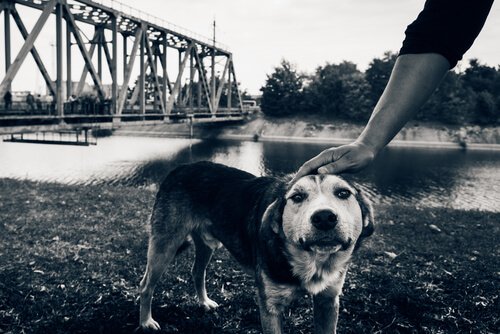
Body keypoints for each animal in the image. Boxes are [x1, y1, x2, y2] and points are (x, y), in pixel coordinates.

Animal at [139, 160, 374, 332]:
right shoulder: (269, 307)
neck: (312, 262)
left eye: (343, 193)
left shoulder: (328, 301)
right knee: (145, 285)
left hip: (206, 245)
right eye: (297, 197)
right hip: (165, 246)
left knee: (197, 271)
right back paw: (146, 322)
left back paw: (204, 302)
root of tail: (181, 167)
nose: (324, 217)